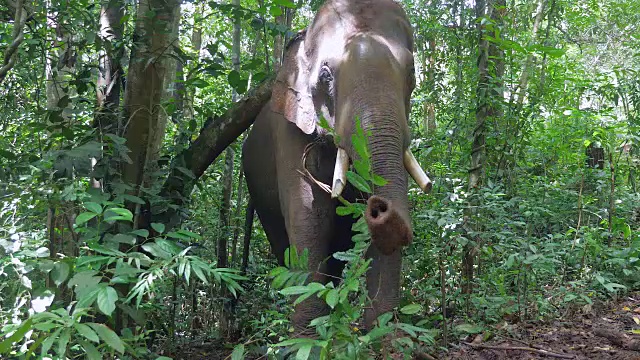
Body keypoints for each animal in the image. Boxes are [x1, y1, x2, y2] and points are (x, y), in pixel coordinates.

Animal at [242, 0, 432, 334]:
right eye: (326, 75)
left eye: (411, 74)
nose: (378, 207)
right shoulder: (288, 133)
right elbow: (309, 218)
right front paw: (307, 336)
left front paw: (383, 336)